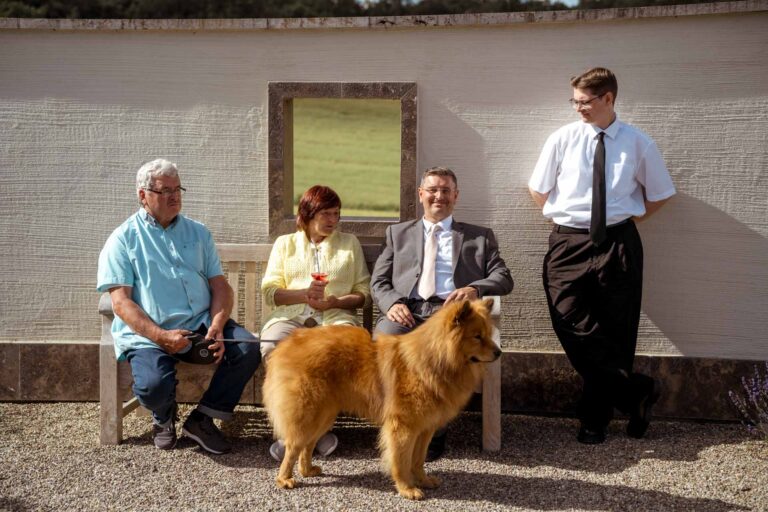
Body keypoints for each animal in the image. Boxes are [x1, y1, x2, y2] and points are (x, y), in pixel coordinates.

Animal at [260, 298, 500, 498]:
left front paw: (422, 480)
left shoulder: (425, 429)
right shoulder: (403, 427)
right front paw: (407, 489)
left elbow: (418, 460)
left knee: (307, 445)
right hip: (309, 413)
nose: (498, 352)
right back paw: (285, 479)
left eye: (488, 333)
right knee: (293, 446)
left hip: (324, 415)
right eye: (477, 336)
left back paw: (307, 470)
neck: (433, 361)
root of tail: (287, 344)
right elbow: (401, 461)